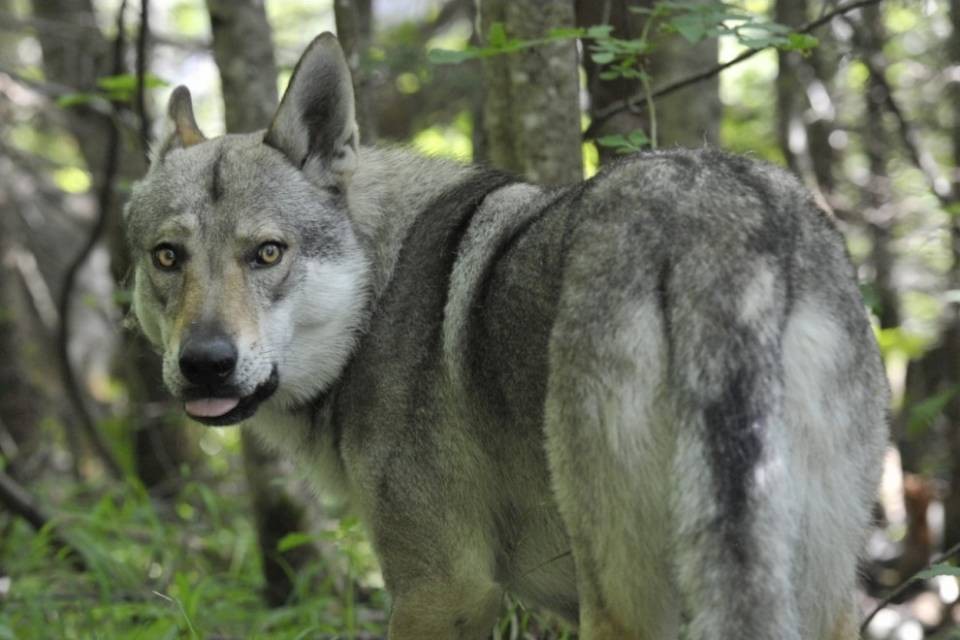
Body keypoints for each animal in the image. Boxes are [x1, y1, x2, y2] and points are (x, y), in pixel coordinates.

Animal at [125, 32, 889, 639]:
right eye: (167, 257)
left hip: (621, 601)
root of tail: (715, 225)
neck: (378, 295)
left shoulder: (443, 591)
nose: (206, 363)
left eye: (267, 253)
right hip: (819, 595)